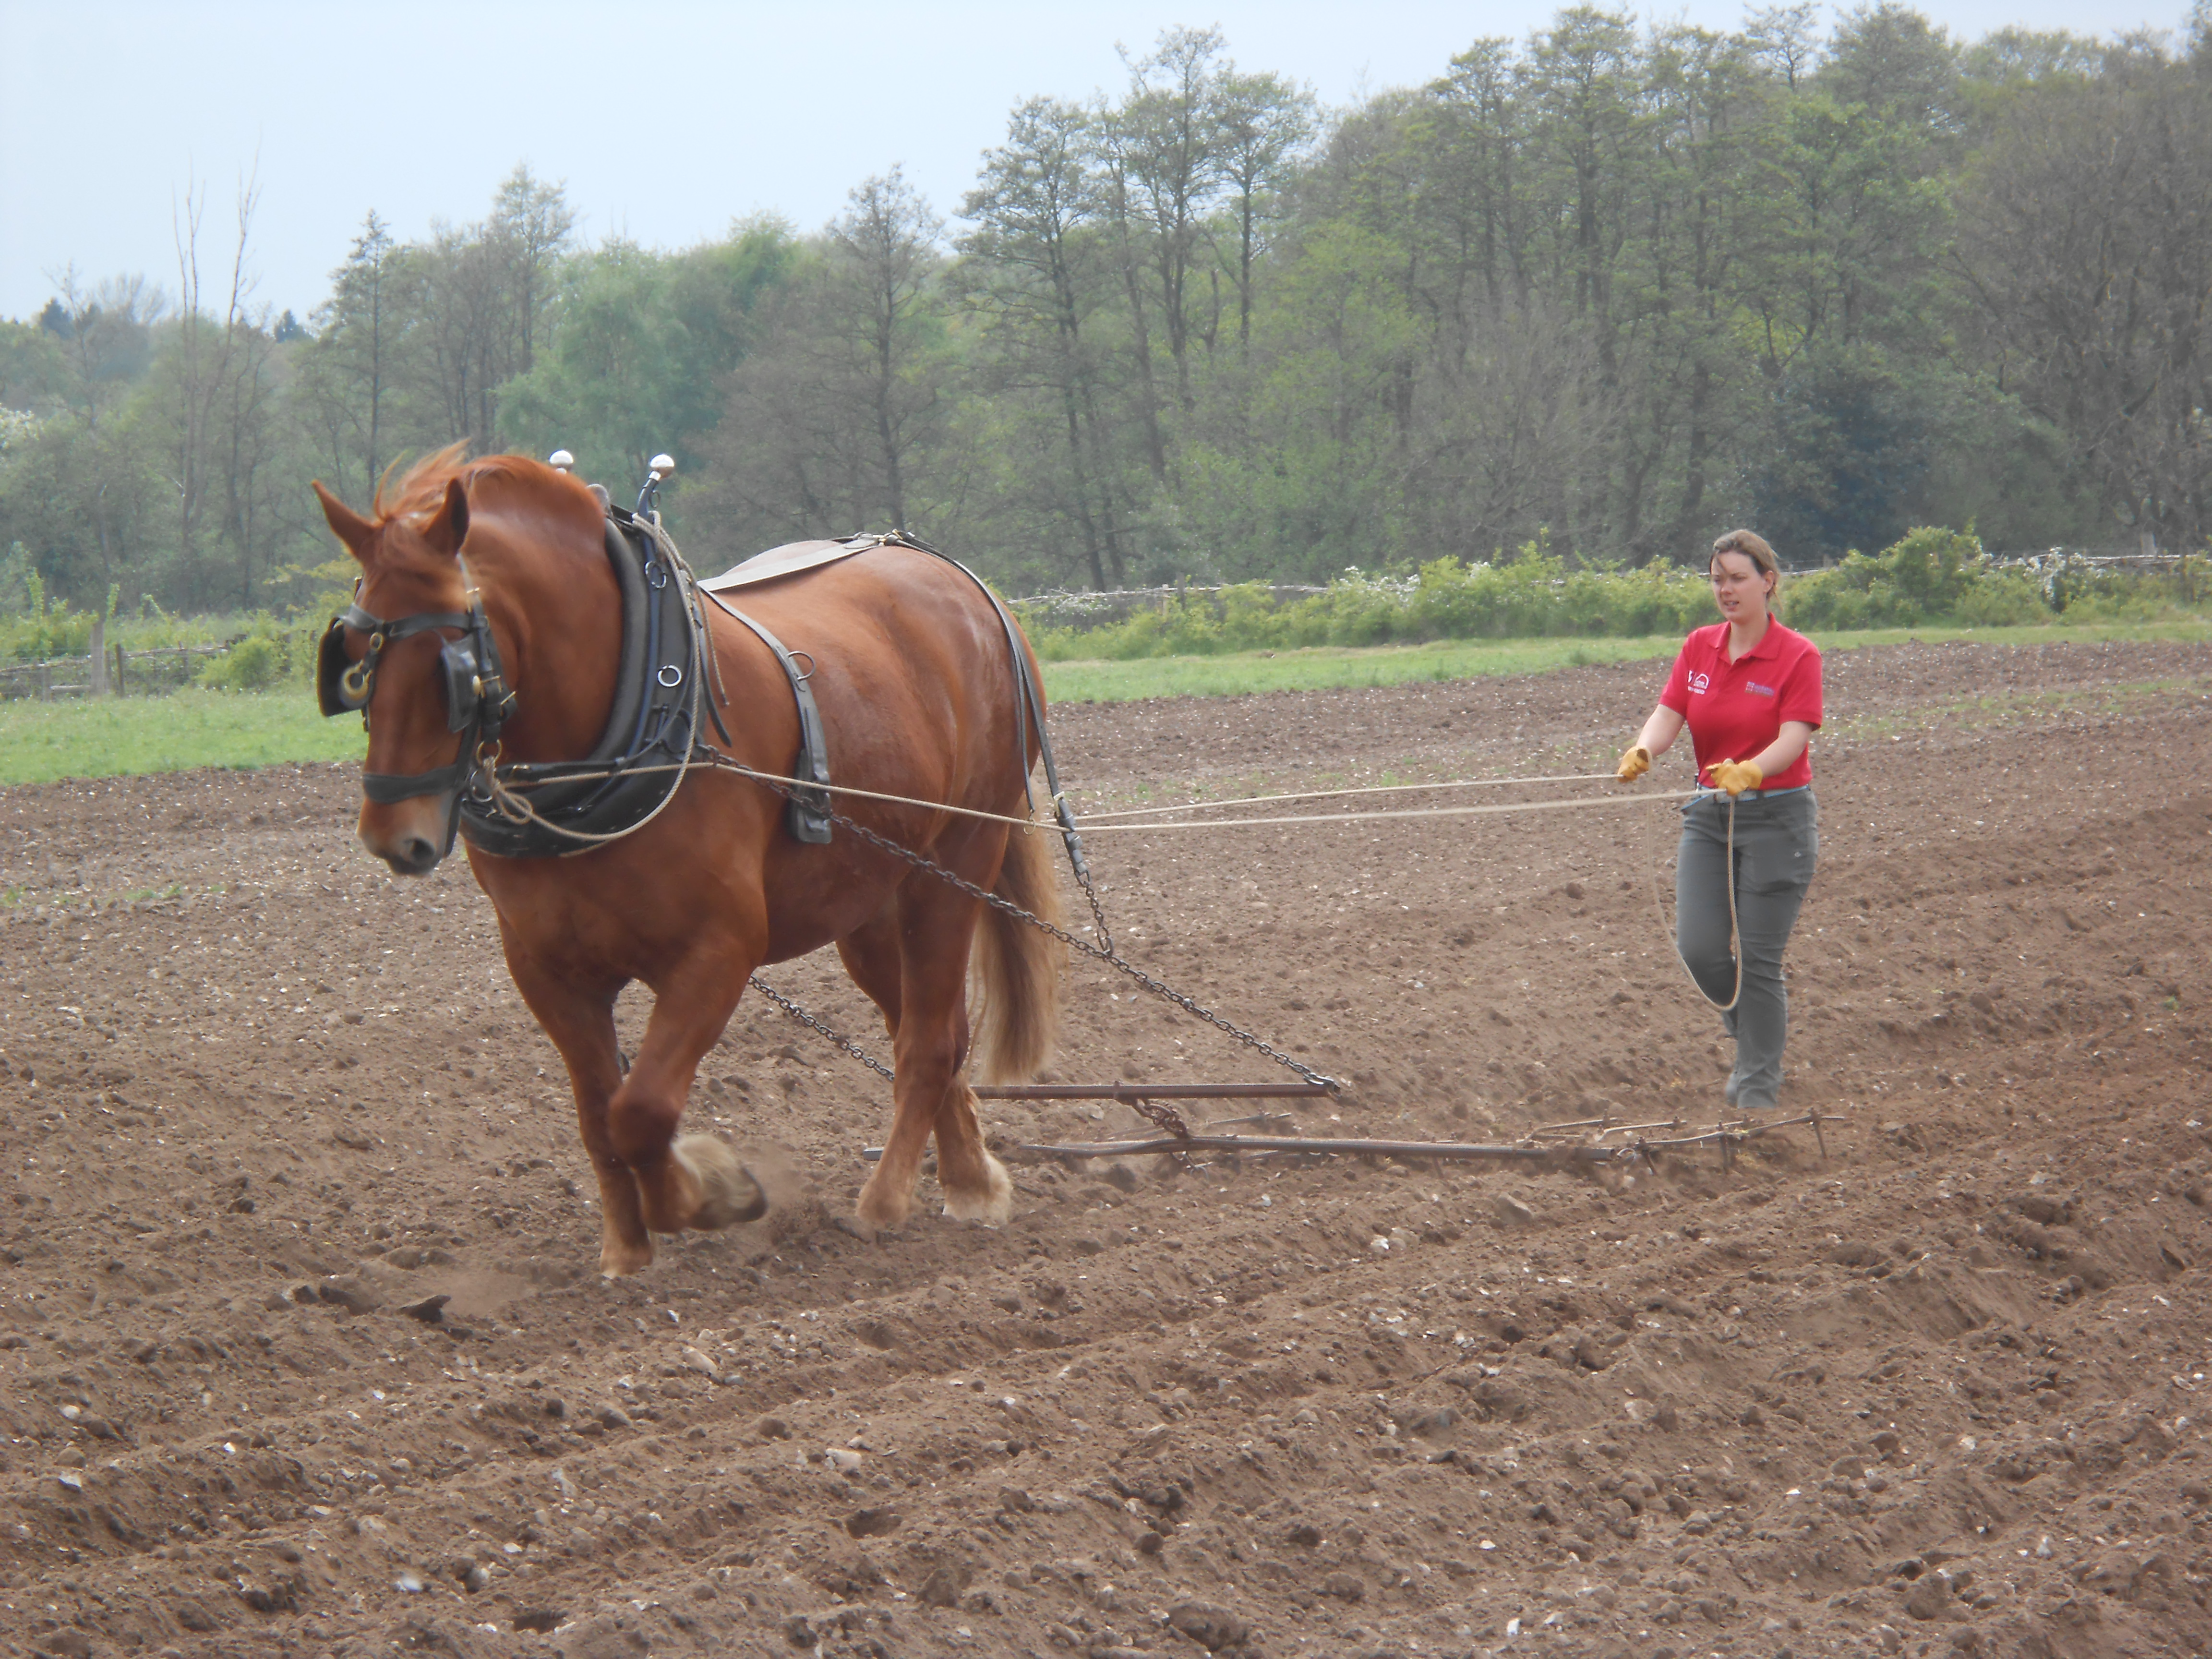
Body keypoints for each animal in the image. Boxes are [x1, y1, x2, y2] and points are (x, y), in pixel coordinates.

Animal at [310, 449, 1061, 1283]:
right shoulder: (547, 971)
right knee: (937, 1029)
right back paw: (971, 1181)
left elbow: (641, 1111)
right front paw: (626, 1249)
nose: (392, 835)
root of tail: (963, 583)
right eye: (353, 664)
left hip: (955, 861)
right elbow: (599, 1117)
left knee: (927, 1040)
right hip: (866, 904)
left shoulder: (717, 953)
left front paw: (710, 1193)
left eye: (454, 664)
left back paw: (885, 1202)